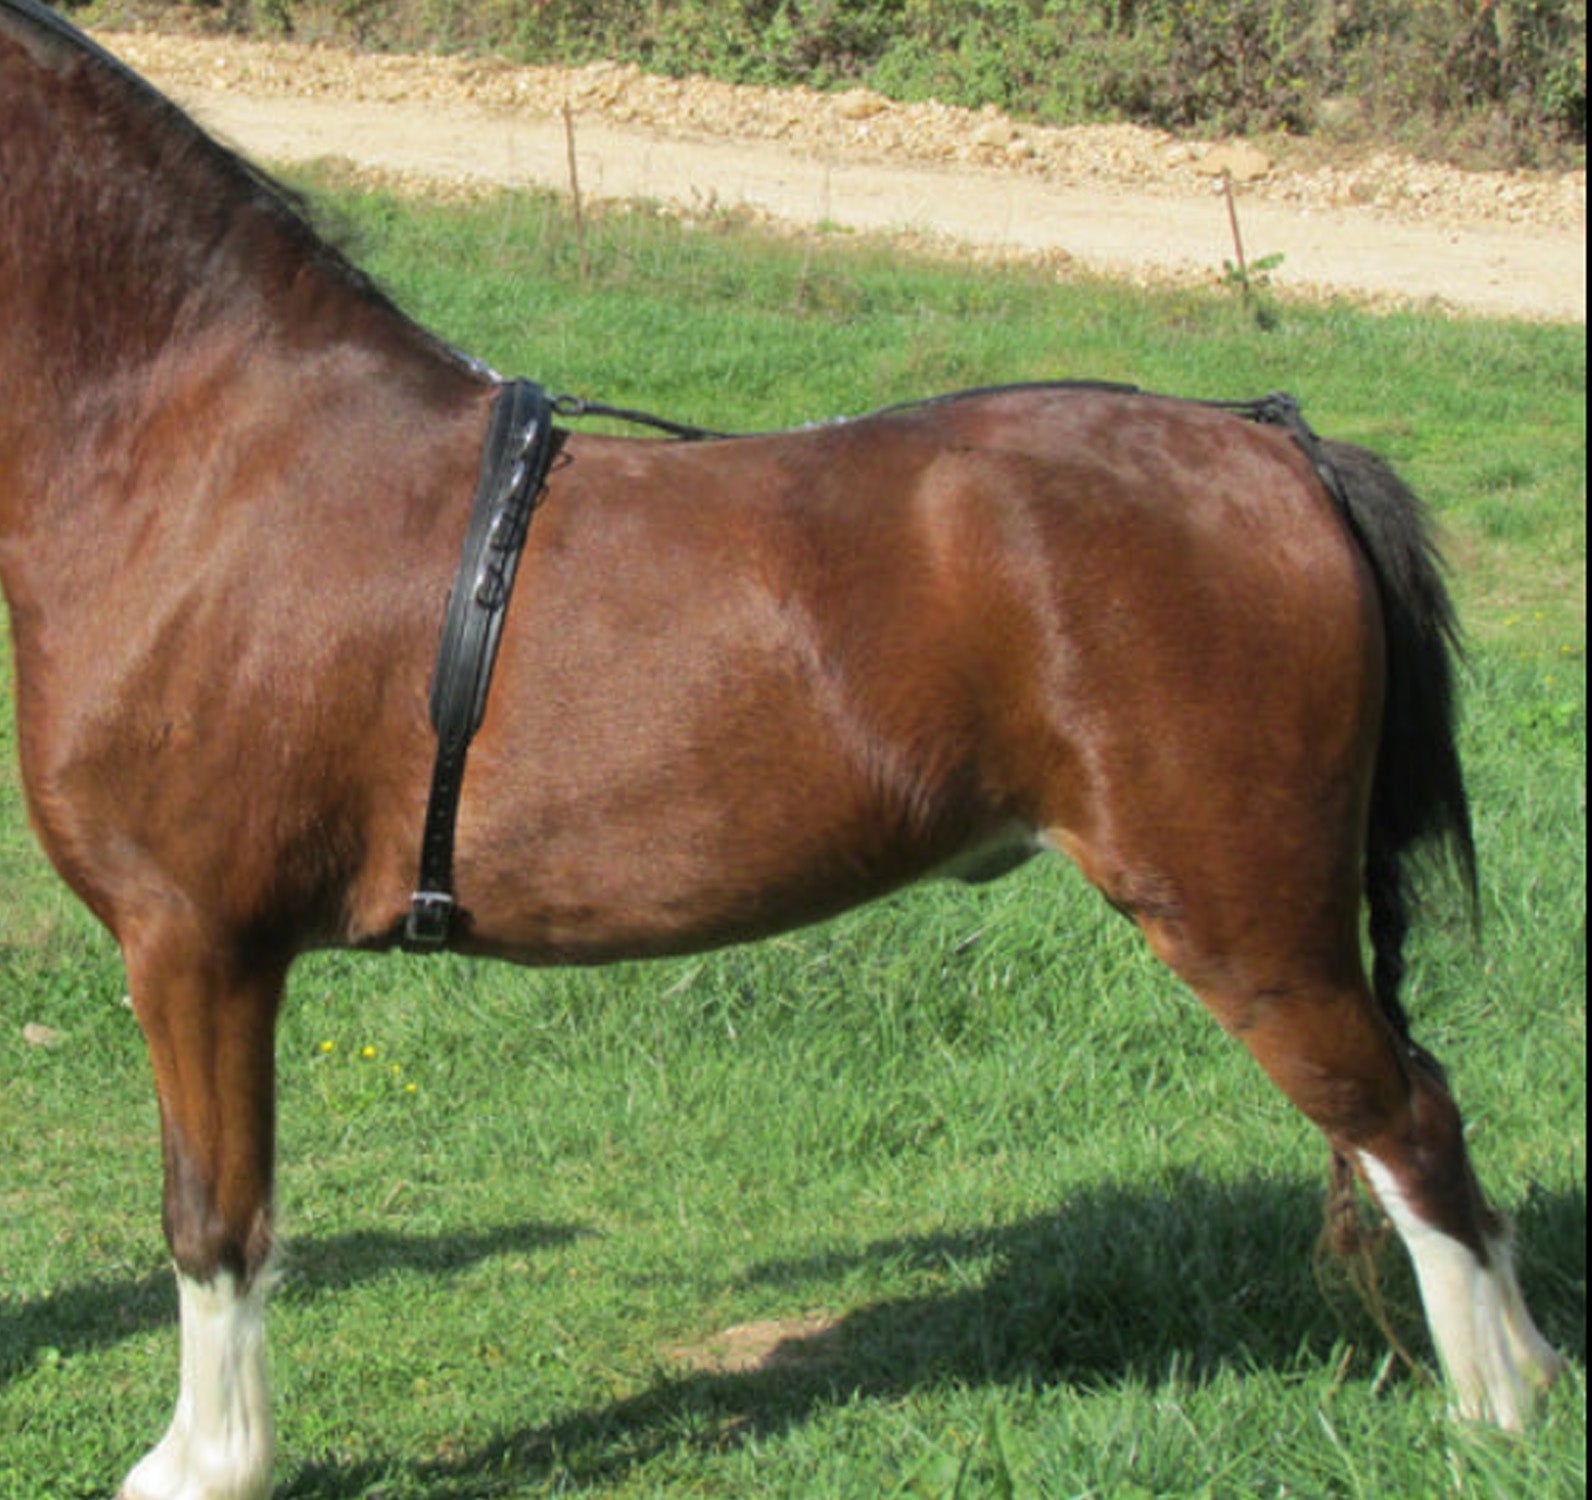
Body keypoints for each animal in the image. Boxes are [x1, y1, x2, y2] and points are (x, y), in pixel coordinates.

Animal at [0, 3, 1565, 1496]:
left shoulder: (197, 941)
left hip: (1249, 916)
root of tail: (1281, 455)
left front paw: (208, 1466)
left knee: (1408, 1126)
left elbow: (214, 1219)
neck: (206, 457)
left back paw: (1498, 1418)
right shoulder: (209, 946)